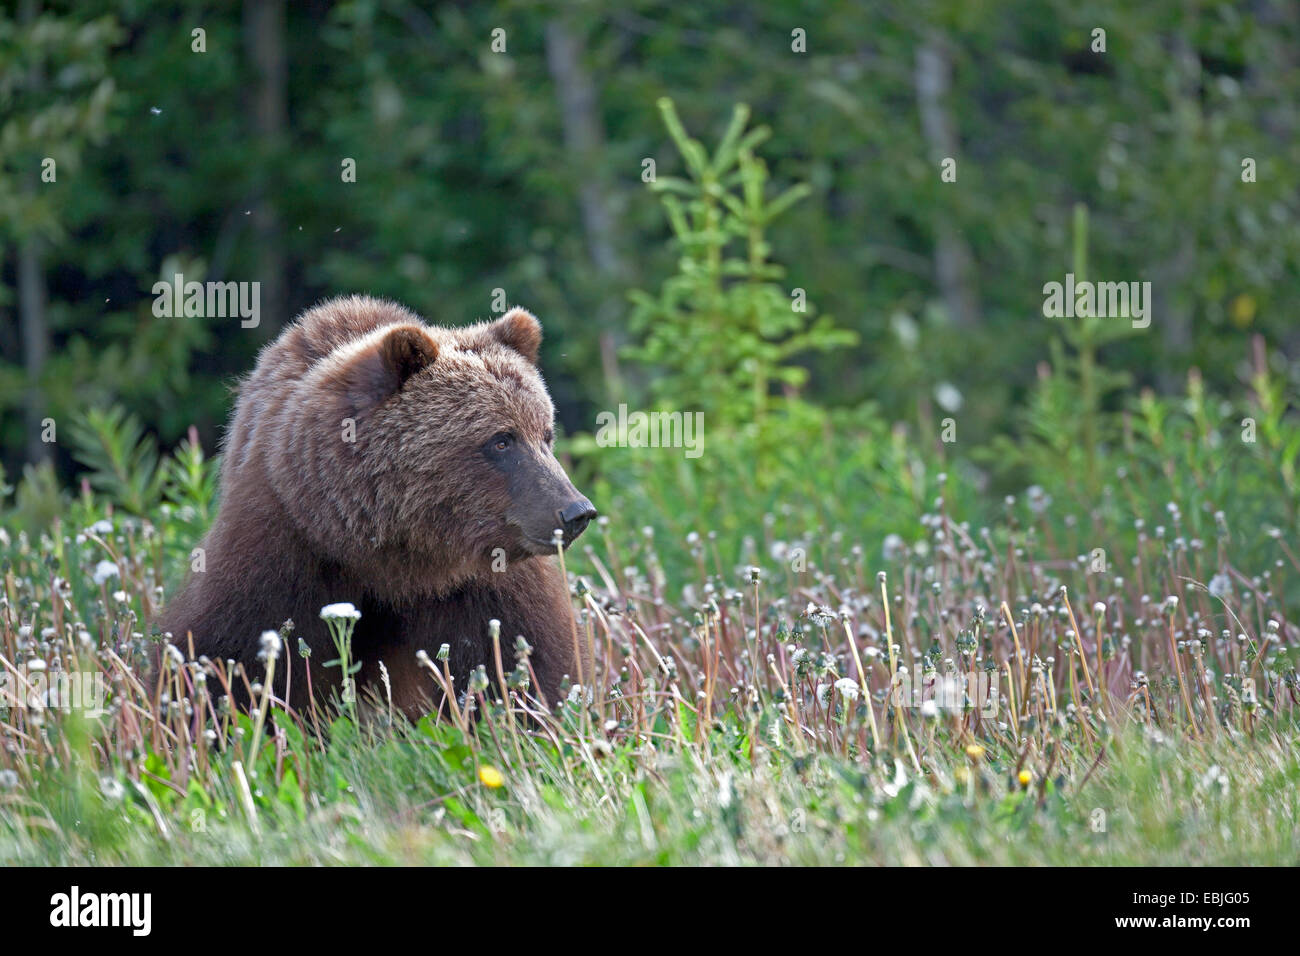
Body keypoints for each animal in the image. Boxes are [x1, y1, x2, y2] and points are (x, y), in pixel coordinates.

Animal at [159, 295, 597, 720]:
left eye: (545, 434)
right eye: (502, 440)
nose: (576, 511)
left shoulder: (487, 582)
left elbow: (526, 658)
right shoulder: (284, 547)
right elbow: (229, 652)